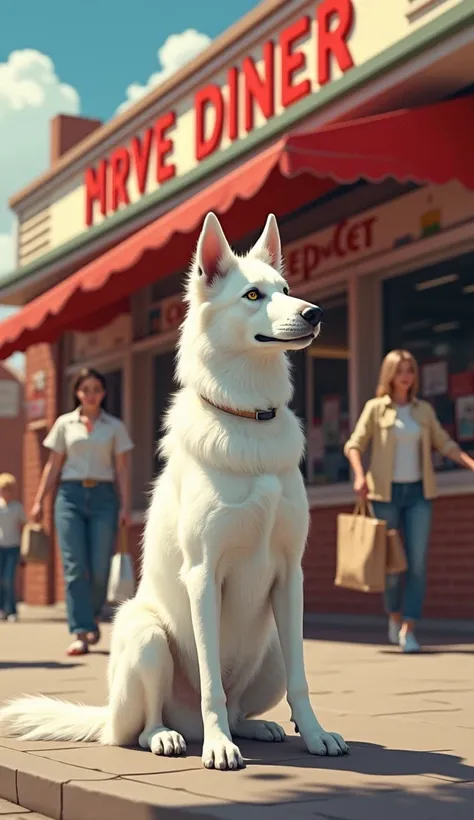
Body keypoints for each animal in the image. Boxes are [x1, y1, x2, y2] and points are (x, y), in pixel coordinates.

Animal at [0, 211, 348, 768]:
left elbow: (301, 679)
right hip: (146, 637)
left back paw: (253, 726)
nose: (314, 313)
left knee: (245, 699)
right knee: (145, 725)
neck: (248, 415)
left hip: (271, 646)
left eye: (286, 290)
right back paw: (173, 736)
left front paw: (315, 735)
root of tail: (108, 717)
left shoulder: (290, 575)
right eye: (253, 295)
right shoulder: (203, 574)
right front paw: (220, 745)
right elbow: (210, 682)